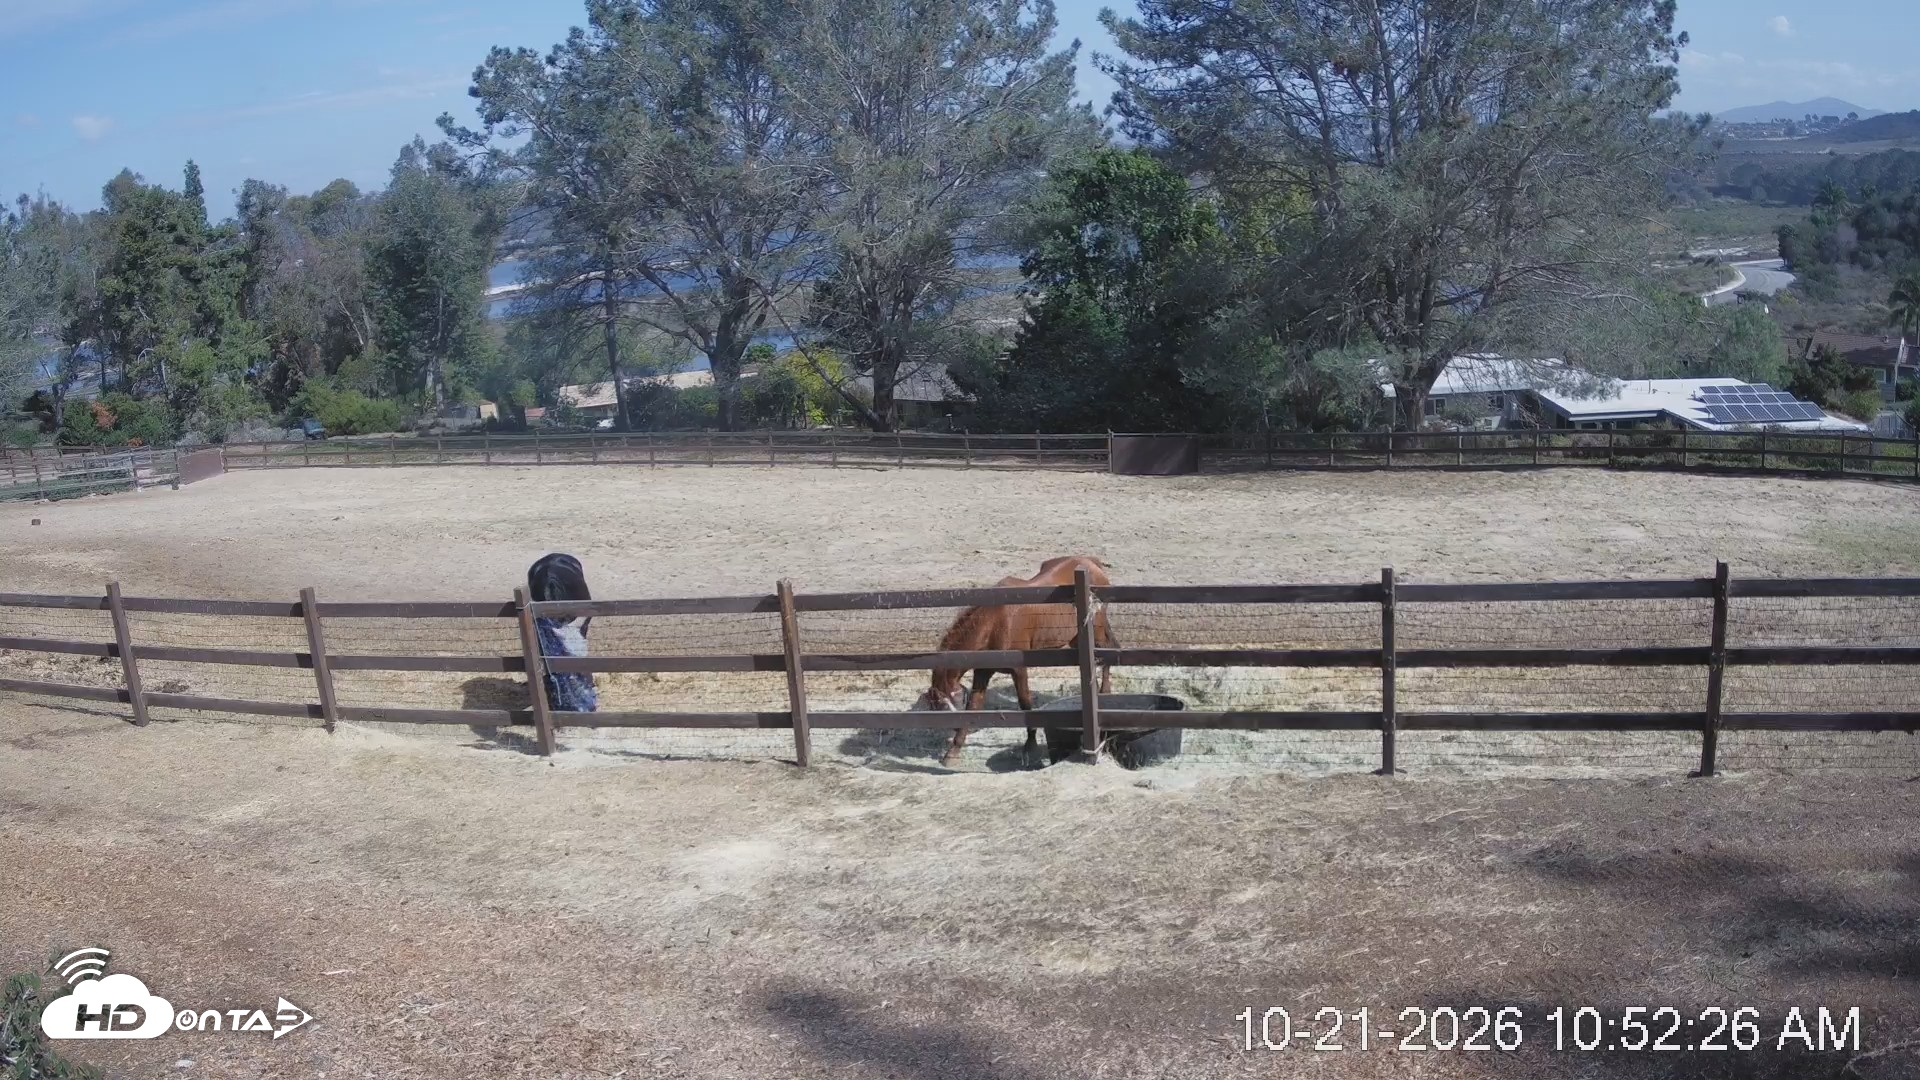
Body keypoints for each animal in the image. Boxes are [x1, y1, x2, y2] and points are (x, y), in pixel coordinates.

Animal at [917, 555, 1116, 766]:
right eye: (937, 707)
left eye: (944, 705)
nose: (951, 727)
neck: (995, 622)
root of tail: (1091, 562)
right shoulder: (983, 672)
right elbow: (973, 706)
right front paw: (953, 752)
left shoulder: (1019, 669)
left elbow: (1025, 704)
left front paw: (1030, 747)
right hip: (1074, 637)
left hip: (1096, 630)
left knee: (1107, 652)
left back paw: (1105, 691)